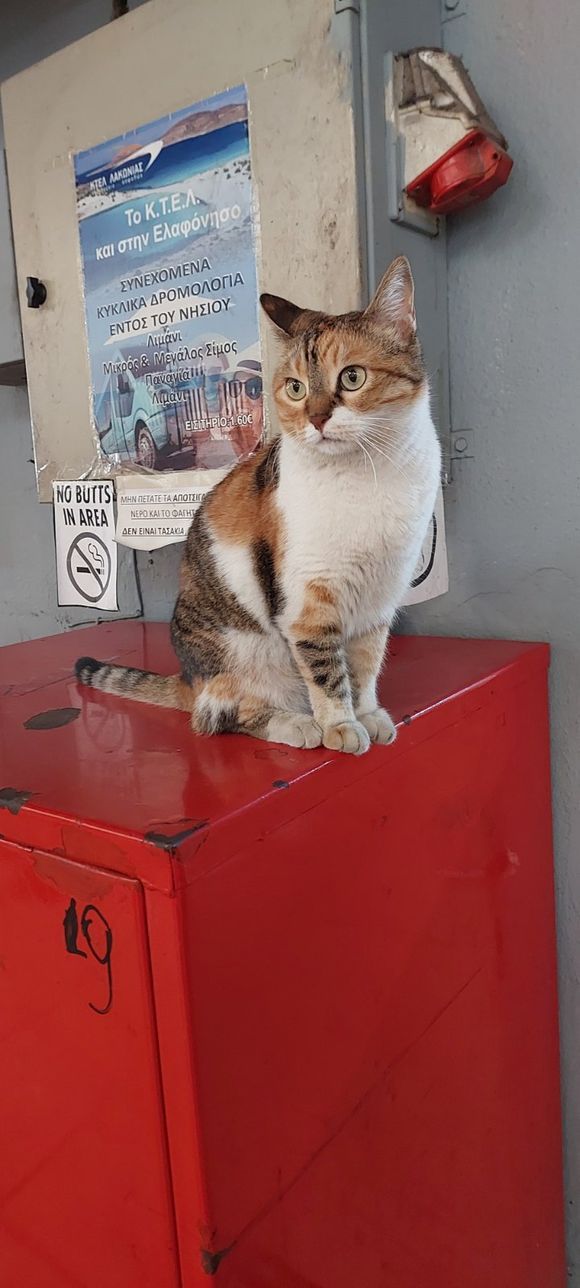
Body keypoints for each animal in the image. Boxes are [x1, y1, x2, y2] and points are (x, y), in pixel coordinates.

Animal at [76, 255, 440, 752]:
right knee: (220, 715)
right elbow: (327, 670)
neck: (370, 472)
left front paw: (368, 713)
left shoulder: (378, 600)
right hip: (244, 651)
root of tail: (187, 678)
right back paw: (297, 724)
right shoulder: (308, 604)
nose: (316, 418)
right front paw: (342, 726)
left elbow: (365, 665)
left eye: (352, 377)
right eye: (295, 388)